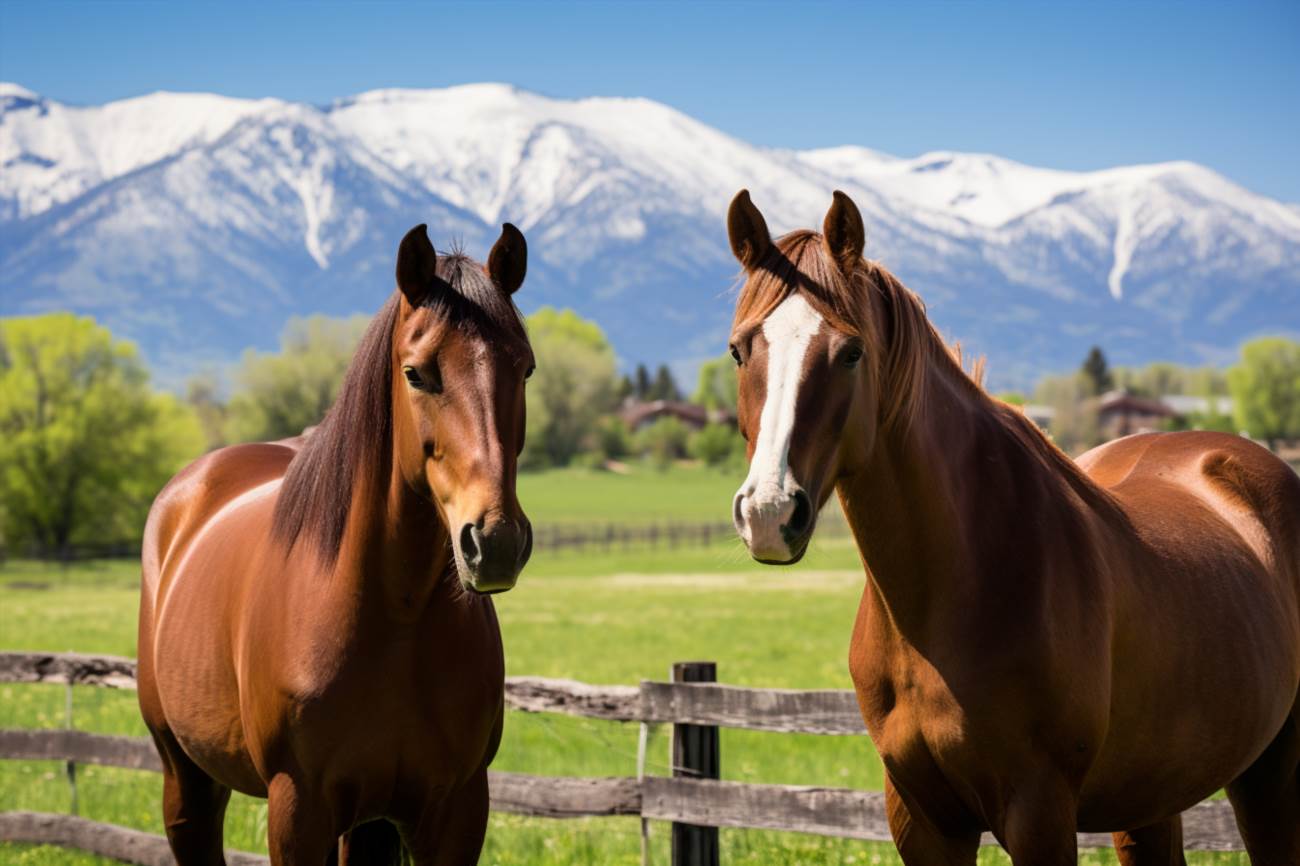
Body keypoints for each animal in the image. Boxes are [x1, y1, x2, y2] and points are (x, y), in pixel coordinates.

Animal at [137, 223, 533, 863]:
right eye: (416, 372)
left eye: (524, 369)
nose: (494, 541)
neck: (395, 615)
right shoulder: (297, 808)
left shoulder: (456, 809)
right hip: (186, 778)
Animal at [722, 191, 1300, 863]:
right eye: (740, 349)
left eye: (851, 351)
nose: (769, 512)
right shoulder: (920, 818)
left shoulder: (1039, 812)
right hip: (1153, 798)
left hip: (1272, 777)